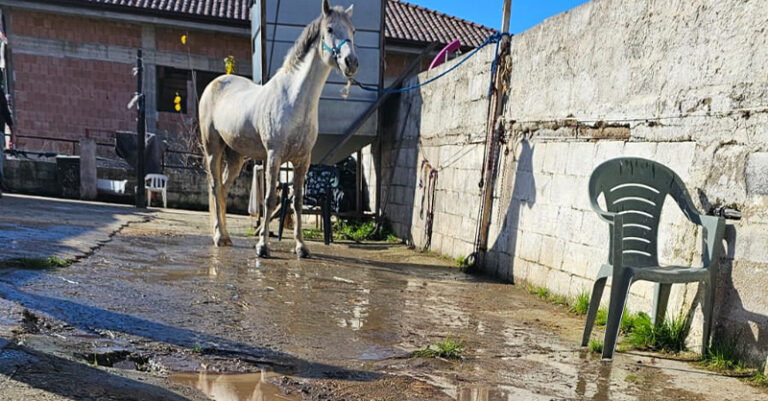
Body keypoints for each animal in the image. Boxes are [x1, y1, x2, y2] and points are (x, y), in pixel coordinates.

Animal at [196, 0, 356, 258]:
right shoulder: (274, 156)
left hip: (236, 157)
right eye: (330, 29)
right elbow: (270, 199)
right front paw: (262, 246)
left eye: (353, 31)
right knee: (214, 186)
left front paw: (301, 247)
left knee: (223, 188)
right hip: (213, 149)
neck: (294, 99)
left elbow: (298, 202)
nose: (352, 62)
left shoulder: (303, 161)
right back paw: (219, 236)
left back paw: (226, 237)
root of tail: (215, 84)